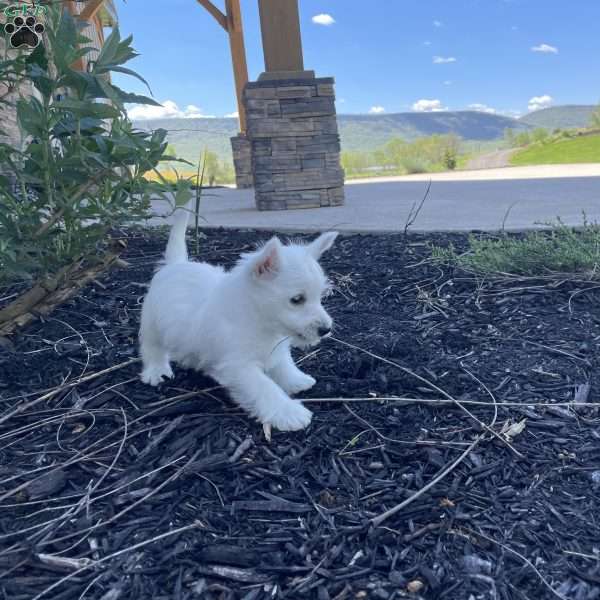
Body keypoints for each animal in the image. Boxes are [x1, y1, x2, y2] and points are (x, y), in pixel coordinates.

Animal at [139, 206, 338, 432]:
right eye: (297, 299)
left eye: (320, 296)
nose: (326, 329)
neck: (256, 318)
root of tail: (175, 264)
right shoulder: (240, 367)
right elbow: (265, 387)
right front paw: (289, 412)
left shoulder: (275, 348)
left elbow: (283, 365)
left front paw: (296, 380)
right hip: (152, 324)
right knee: (152, 349)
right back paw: (156, 372)